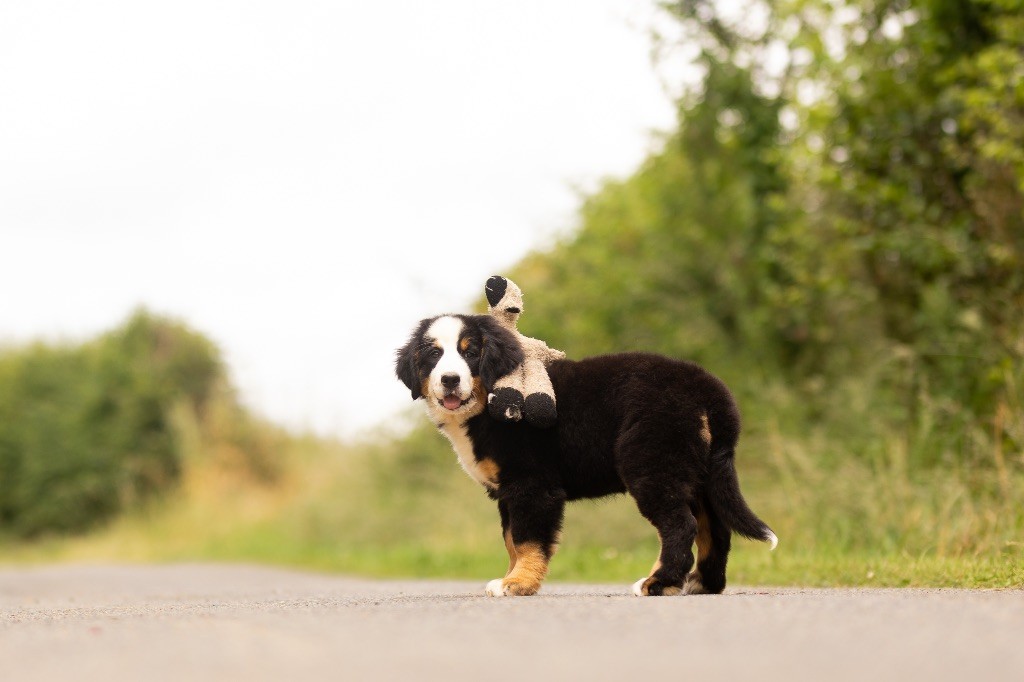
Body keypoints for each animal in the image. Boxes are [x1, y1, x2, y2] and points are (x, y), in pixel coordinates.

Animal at [393, 313, 774, 593]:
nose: (450, 379)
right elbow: (511, 540)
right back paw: (703, 584)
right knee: (715, 528)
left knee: (681, 525)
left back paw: (657, 583)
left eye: (471, 352)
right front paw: (511, 577)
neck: (488, 401)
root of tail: (705, 386)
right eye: (433, 355)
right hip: (696, 471)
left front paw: (518, 584)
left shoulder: (532, 485)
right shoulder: (506, 492)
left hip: (653, 465)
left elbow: (527, 539)